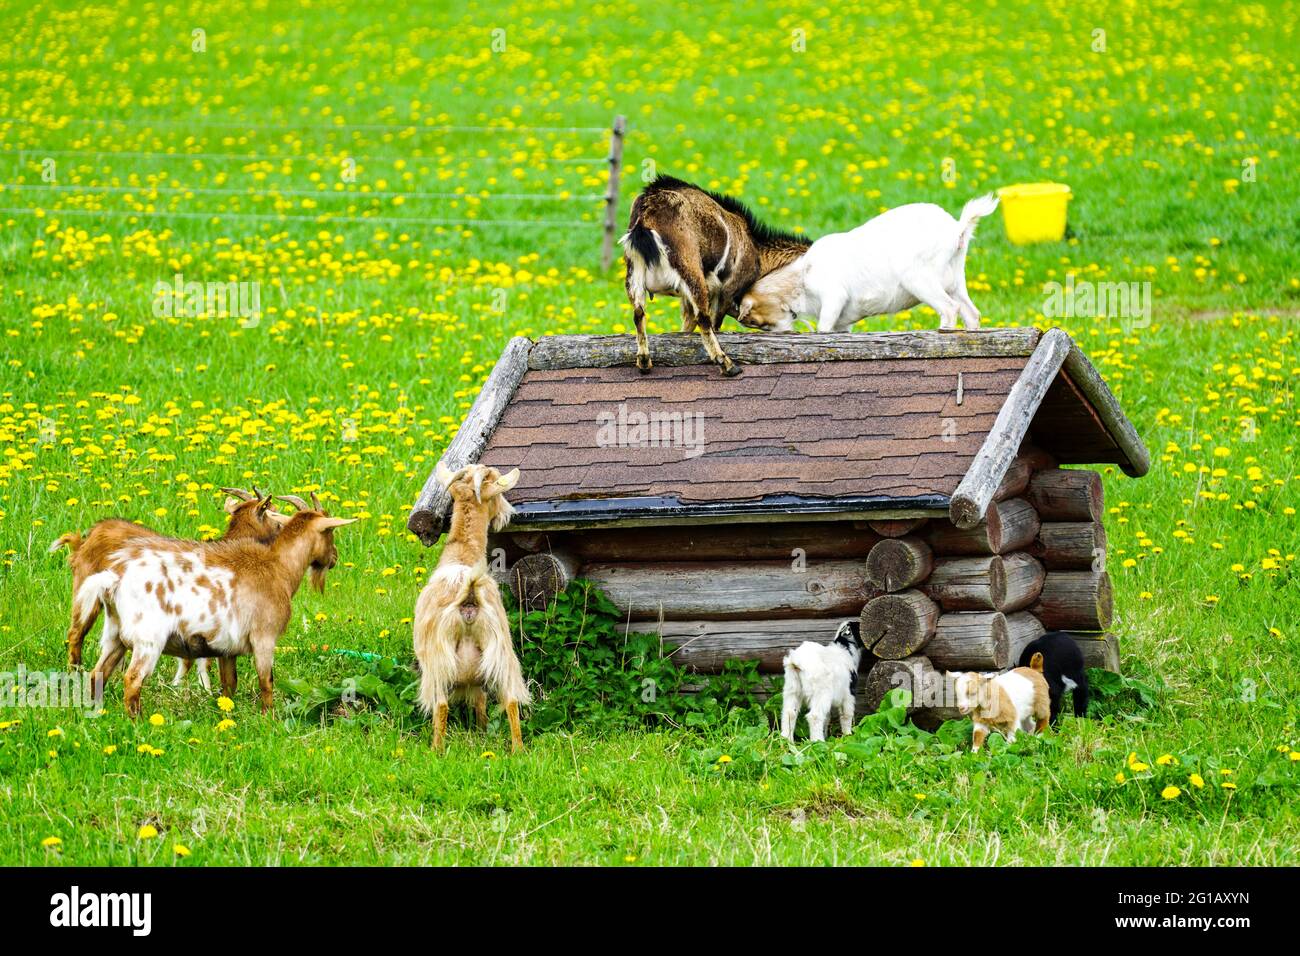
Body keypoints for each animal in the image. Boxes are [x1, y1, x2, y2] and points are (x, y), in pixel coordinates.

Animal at [71, 504, 356, 712]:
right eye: (330, 531)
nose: (334, 557)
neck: (278, 569)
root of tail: (115, 580)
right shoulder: (264, 637)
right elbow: (266, 681)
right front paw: (269, 719)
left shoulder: (227, 648)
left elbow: (229, 684)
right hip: (148, 640)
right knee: (132, 680)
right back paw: (138, 722)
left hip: (114, 635)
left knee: (98, 674)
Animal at [410, 463, 527, 754]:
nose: (508, 514)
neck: (461, 555)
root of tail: (470, 596)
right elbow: (482, 705)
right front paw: (482, 731)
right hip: (500, 650)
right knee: (510, 700)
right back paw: (518, 750)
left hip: (438, 663)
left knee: (441, 705)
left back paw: (436, 750)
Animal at [621, 175, 811, 377]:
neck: (757, 253)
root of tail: (648, 213)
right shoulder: (726, 291)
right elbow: (714, 323)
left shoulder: (687, 299)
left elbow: (686, 327)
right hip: (690, 268)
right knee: (702, 319)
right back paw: (727, 365)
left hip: (634, 273)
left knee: (638, 313)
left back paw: (644, 362)